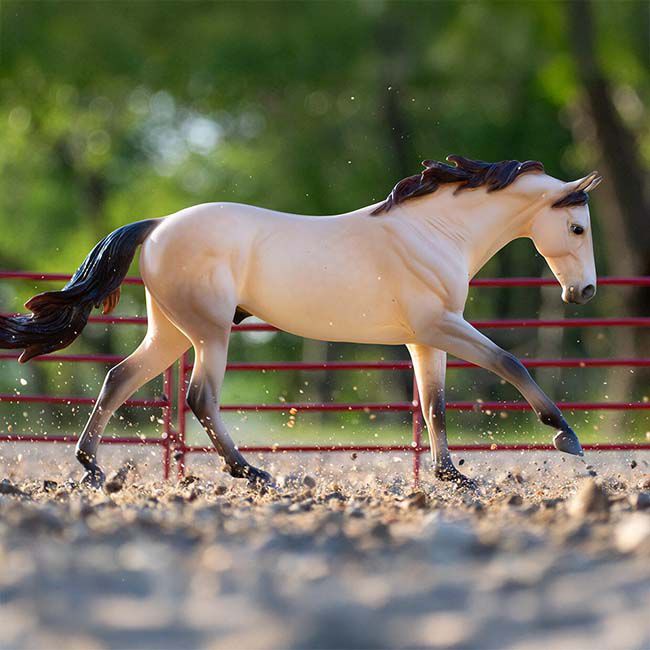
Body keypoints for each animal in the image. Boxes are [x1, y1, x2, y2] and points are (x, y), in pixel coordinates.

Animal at [0, 155, 602, 488]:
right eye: (576, 228)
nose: (585, 292)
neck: (433, 231)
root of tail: (158, 224)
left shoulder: (424, 340)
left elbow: (433, 405)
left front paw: (453, 476)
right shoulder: (440, 326)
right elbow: (509, 361)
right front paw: (565, 436)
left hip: (171, 332)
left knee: (119, 377)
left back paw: (91, 467)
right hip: (210, 334)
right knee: (199, 398)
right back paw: (253, 474)